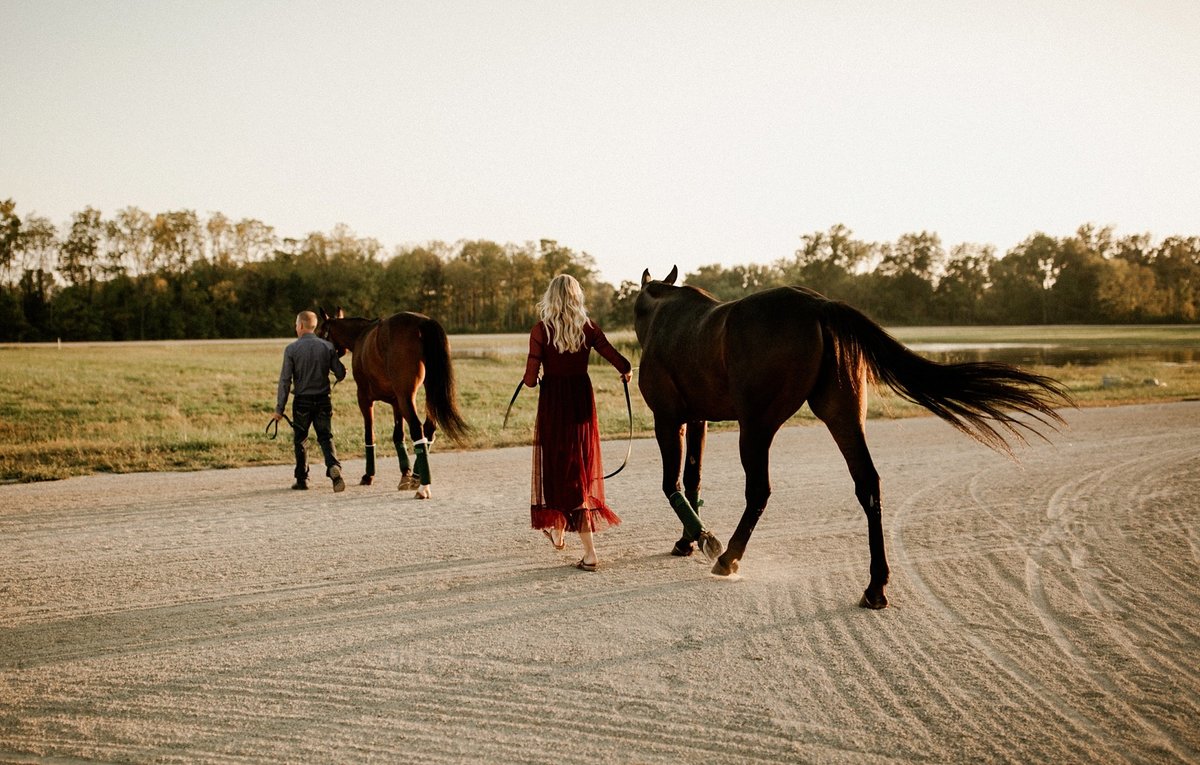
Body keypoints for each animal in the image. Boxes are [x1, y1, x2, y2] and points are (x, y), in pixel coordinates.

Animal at [319, 309, 468, 501]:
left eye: (320, 332)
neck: (361, 335)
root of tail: (422, 323)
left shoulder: (365, 399)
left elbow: (369, 434)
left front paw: (369, 475)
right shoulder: (396, 402)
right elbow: (398, 436)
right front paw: (406, 474)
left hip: (406, 397)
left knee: (417, 428)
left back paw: (423, 487)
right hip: (427, 393)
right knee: (428, 428)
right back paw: (417, 477)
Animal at [633, 266, 1075, 609]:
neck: (670, 318)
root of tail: (818, 305)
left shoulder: (668, 419)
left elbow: (671, 483)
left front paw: (700, 538)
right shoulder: (698, 419)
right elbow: (692, 479)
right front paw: (689, 539)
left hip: (757, 425)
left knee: (759, 490)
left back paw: (729, 557)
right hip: (841, 412)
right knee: (868, 484)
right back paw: (875, 585)